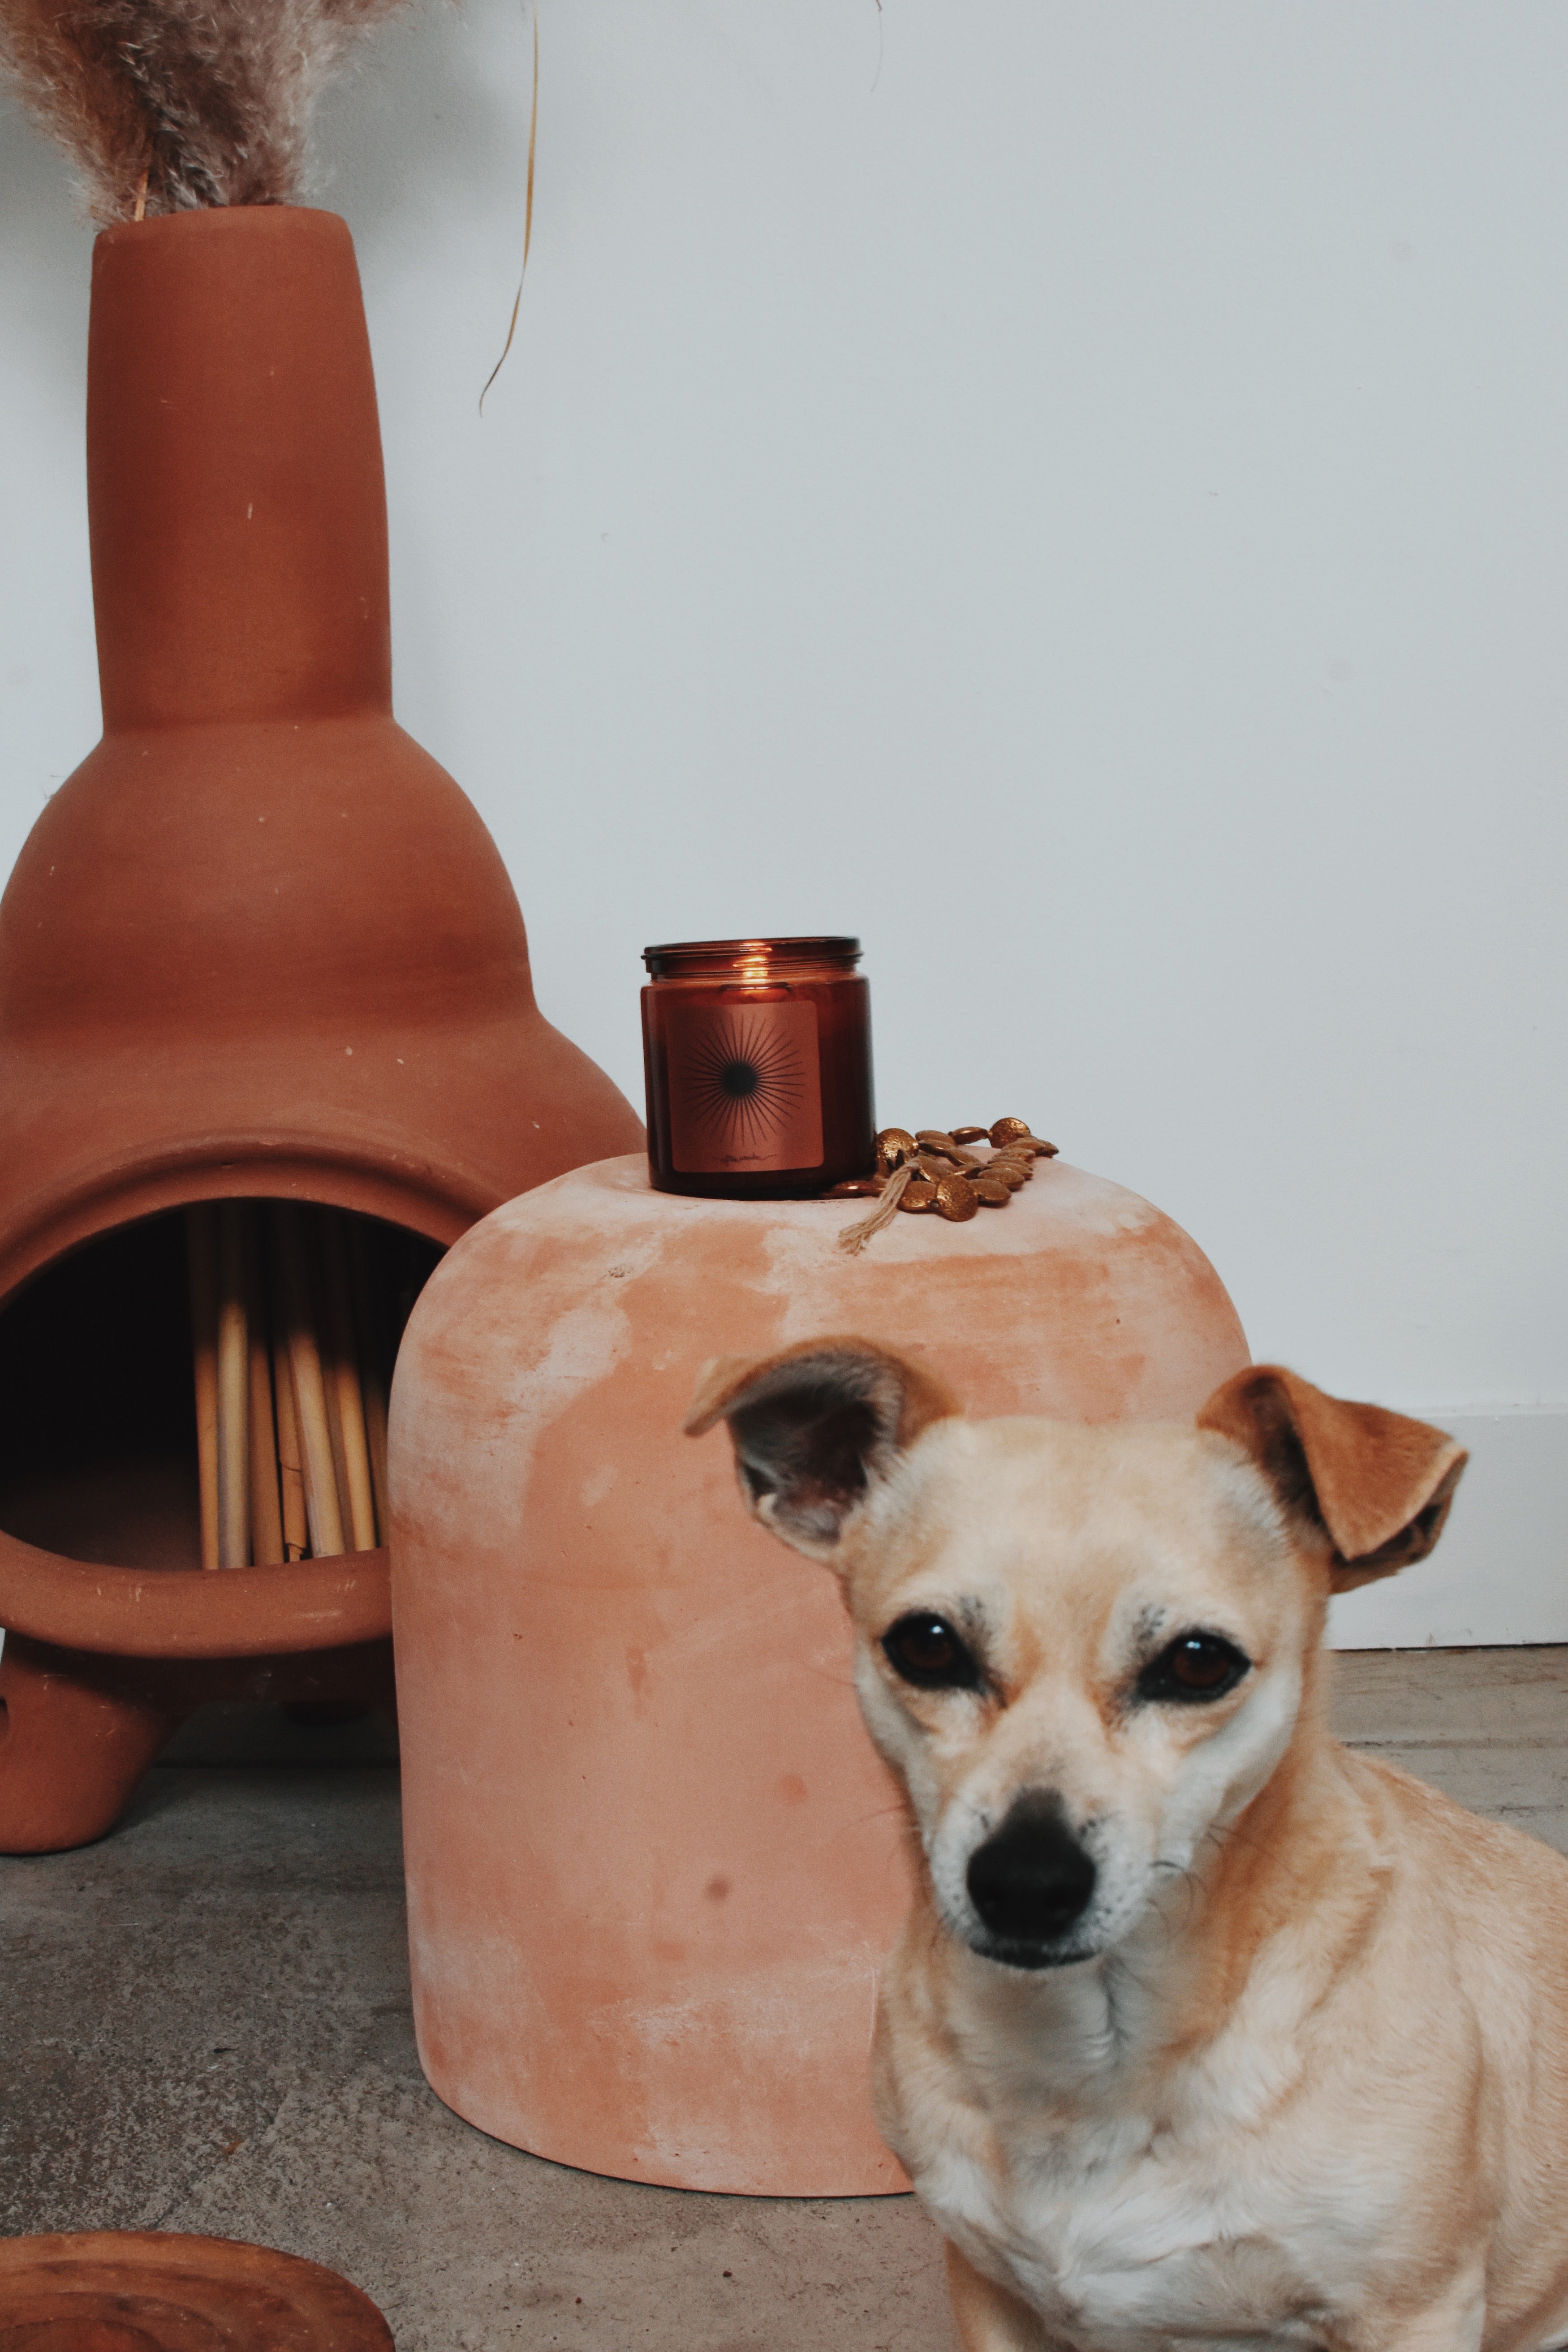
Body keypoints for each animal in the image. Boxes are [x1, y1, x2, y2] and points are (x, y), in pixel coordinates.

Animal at [691, 1345, 1568, 2352]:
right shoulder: (991, 2293)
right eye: (927, 1645)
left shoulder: (1415, 2310)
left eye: (1198, 1662)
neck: (1098, 2061)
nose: (1025, 1882)